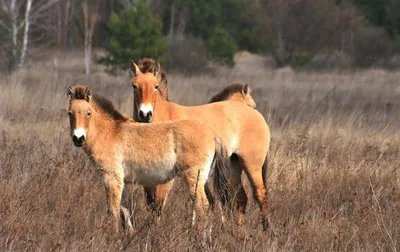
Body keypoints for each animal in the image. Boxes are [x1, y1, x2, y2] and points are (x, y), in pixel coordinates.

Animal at [67, 85, 227, 235]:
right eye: (70, 113)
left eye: (88, 113)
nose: (78, 138)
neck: (110, 133)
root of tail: (212, 135)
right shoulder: (124, 181)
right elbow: (125, 212)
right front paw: (129, 236)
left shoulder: (111, 178)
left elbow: (113, 211)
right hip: (203, 180)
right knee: (210, 205)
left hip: (194, 178)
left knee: (203, 207)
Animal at [131, 59, 272, 230]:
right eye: (134, 86)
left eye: (155, 86)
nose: (145, 115)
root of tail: (258, 117)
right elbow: (152, 204)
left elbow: (158, 204)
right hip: (233, 166)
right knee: (241, 199)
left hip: (252, 166)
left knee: (260, 195)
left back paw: (268, 231)